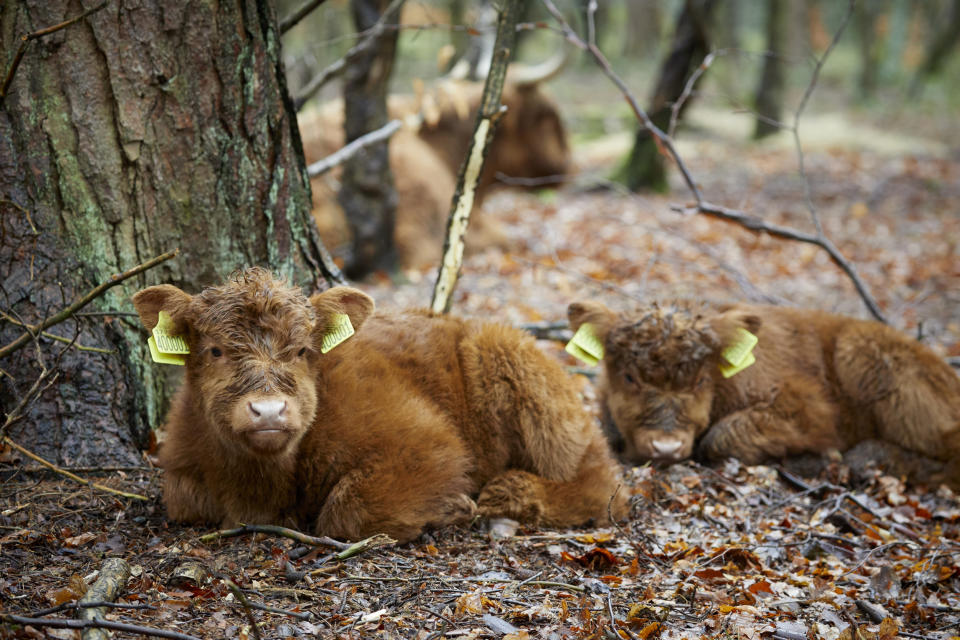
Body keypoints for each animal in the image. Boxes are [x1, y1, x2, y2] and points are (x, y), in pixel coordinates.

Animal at [137, 268, 632, 544]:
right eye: (216, 351)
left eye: (301, 351)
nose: (269, 411)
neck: (260, 486)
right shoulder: (179, 469)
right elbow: (182, 498)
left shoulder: (426, 445)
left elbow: (345, 510)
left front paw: (453, 507)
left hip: (527, 382)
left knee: (602, 482)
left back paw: (510, 492)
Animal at [568, 298, 956, 484]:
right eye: (629, 377)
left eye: (701, 381)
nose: (665, 447)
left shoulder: (806, 407)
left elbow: (722, 436)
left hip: (861, 353)